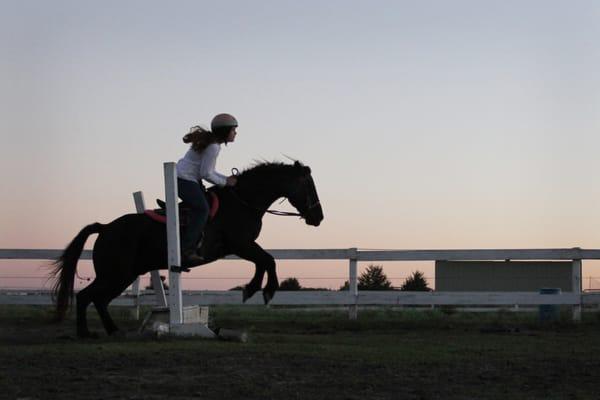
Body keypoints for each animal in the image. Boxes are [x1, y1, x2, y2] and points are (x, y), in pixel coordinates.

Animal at [51, 160, 324, 338]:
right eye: (308, 185)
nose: (319, 217)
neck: (242, 202)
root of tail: (106, 228)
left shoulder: (244, 246)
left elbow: (265, 261)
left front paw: (254, 288)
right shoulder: (241, 245)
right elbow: (268, 260)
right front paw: (263, 290)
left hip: (123, 276)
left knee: (99, 300)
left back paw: (112, 330)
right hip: (115, 275)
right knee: (87, 297)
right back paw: (85, 332)